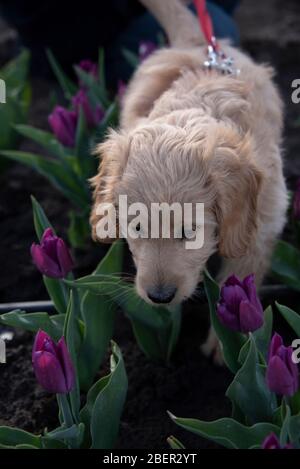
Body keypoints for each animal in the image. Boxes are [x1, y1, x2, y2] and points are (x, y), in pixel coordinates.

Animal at [89, 0, 288, 358]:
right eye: (135, 227)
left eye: (189, 231)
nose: (160, 296)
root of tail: (199, 43)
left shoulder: (263, 221)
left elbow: (240, 276)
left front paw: (228, 346)